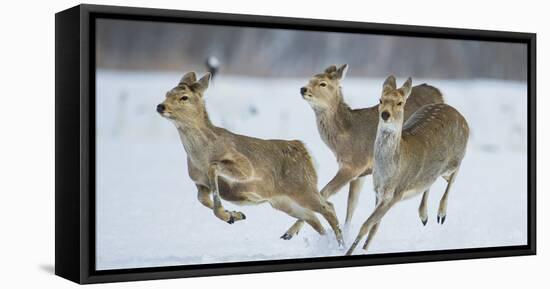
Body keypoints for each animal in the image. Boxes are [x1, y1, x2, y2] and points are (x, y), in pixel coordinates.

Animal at [157, 71, 342, 244]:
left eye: (184, 97)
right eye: (167, 93)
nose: (160, 106)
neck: (200, 156)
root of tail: (305, 151)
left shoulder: (245, 167)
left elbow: (214, 168)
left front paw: (229, 214)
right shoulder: (199, 182)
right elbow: (202, 199)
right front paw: (234, 215)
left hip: (302, 187)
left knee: (328, 208)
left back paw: (340, 243)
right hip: (282, 201)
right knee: (313, 218)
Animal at [288, 64, 444, 240]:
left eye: (323, 83)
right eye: (310, 79)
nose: (303, 89)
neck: (344, 138)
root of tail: (438, 92)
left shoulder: (354, 164)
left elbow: (324, 191)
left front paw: (290, 232)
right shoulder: (360, 174)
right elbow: (351, 204)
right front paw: (345, 232)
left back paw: (427, 215)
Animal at [344, 75, 470, 253]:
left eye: (400, 102)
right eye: (380, 99)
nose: (385, 114)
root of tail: (459, 114)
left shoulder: (397, 192)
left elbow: (366, 225)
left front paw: (349, 252)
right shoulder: (378, 191)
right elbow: (374, 226)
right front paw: (364, 249)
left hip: (456, 157)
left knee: (454, 174)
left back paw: (441, 214)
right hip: (435, 172)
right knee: (433, 180)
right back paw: (424, 216)